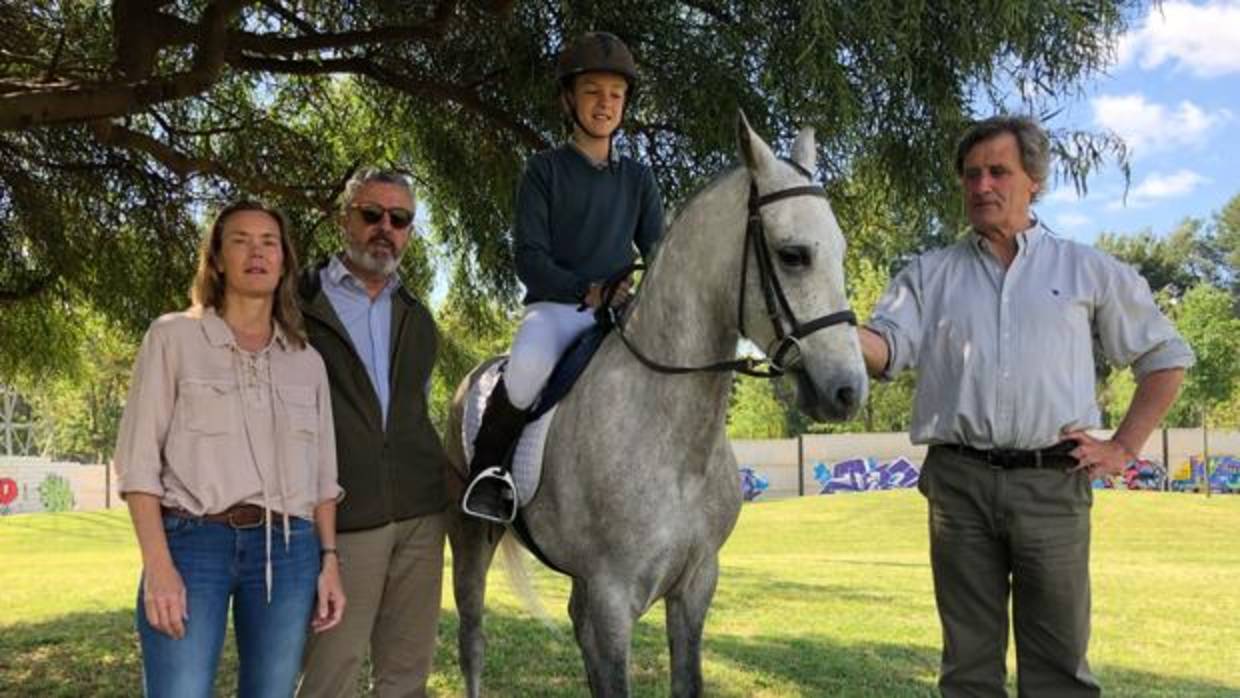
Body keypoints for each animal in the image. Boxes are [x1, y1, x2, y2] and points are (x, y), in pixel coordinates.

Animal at [448, 113, 872, 694]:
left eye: (841, 252)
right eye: (793, 255)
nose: (849, 392)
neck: (671, 439)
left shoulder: (695, 586)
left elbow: (683, 680)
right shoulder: (613, 597)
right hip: (470, 538)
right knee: (472, 639)